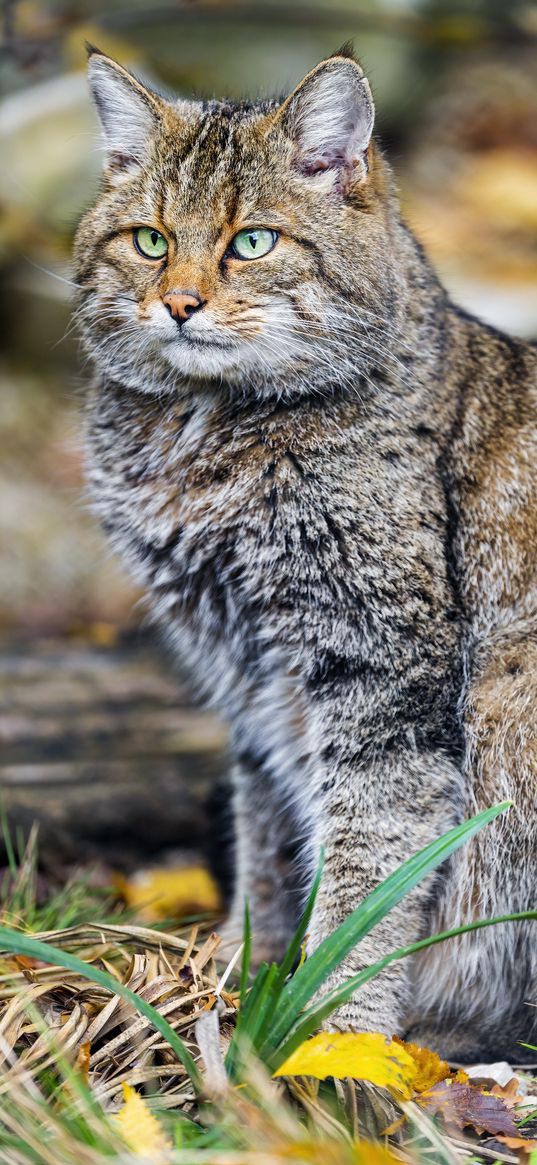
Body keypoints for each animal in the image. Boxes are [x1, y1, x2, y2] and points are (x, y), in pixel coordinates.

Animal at [76, 45, 535, 1062]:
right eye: (150, 240)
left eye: (251, 242)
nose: (178, 303)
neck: (200, 437)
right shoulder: (246, 674)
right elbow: (267, 835)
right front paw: (244, 968)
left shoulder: (381, 670)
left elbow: (371, 856)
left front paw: (329, 1029)